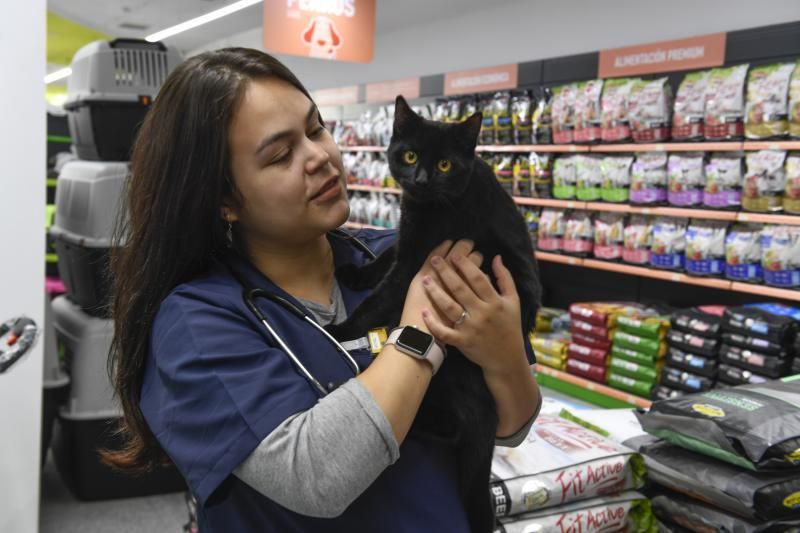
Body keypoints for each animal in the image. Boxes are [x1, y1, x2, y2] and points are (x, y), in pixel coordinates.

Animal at [328, 95, 540, 532]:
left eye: (445, 165)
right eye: (410, 155)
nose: (422, 179)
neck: (427, 206)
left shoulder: (417, 260)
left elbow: (379, 298)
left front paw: (339, 330)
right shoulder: (408, 239)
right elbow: (385, 258)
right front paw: (356, 272)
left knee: (455, 426)